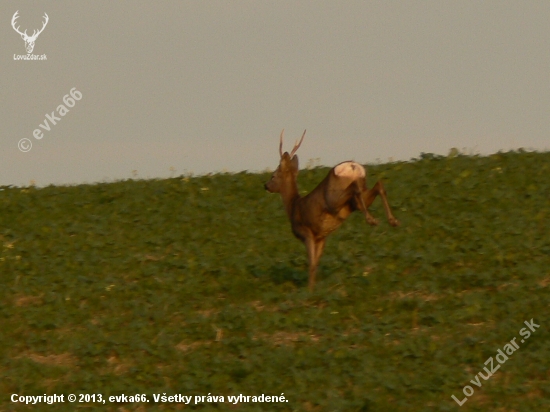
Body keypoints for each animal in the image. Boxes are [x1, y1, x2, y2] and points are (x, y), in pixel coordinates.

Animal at [266, 130, 402, 292]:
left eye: (273, 175)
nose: (265, 185)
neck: (293, 206)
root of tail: (353, 166)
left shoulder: (306, 232)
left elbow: (311, 264)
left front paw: (309, 290)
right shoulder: (321, 237)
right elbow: (316, 263)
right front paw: (314, 287)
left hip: (334, 198)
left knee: (355, 187)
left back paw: (372, 220)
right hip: (356, 200)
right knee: (378, 185)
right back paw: (391, 220)